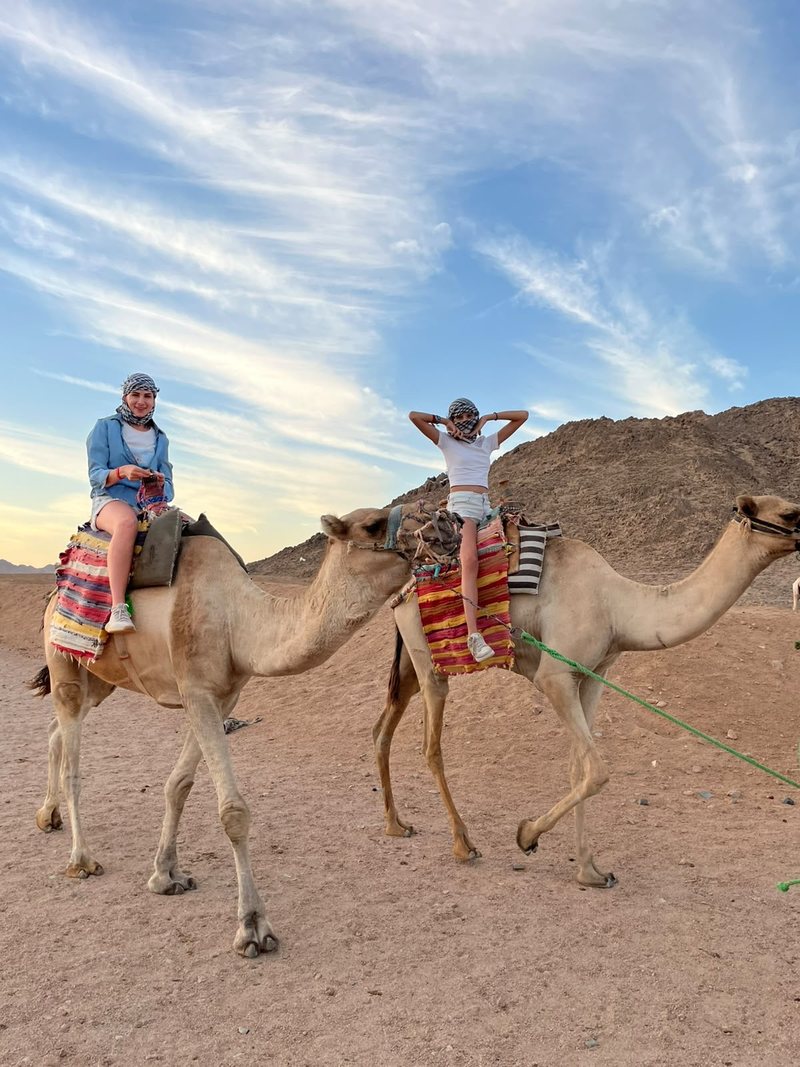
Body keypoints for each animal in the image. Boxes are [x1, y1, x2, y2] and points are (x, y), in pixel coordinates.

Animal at [30, 505, 424, 957]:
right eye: (373, 525)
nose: (440, 524)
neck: (238, 624)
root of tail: (54, 592)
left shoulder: (222, 698)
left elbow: (178, 785)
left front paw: (166, 875)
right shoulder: (197, 690)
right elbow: (232, 811)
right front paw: (253, 927)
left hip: (100, 677)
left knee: (55, 729)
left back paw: (48, 816)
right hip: (63, 659)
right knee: (72, 760)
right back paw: (80, 859)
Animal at [371, 494, 800, 887]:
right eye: (790, 513)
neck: (617, 608)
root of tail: (406, 589)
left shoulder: (592, 677)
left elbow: (578, 768)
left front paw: (589, 870)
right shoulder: (555, 675)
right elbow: (597, 771)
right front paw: (527, 835)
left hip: (409, 662)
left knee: (382, 728)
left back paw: (396, 824)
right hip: (429, 662)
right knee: (431, 745)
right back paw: (463, 844)